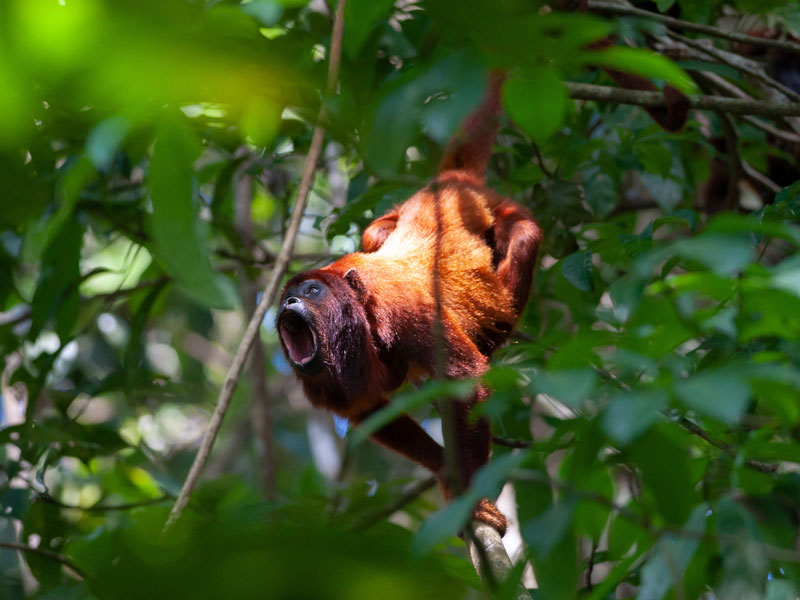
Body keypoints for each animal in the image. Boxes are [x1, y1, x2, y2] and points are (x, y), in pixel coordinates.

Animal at [278, 71, 540, 536]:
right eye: (289, 296)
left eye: (311, 292)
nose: (288, 300)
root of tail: (452, 184)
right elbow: (366, 410)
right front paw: (446, 472)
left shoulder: (409, 312)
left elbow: (467, 380)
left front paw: (471, 499)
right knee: (373, 234)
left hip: (501, 209)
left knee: (525, 236)